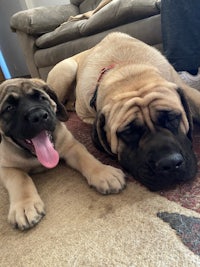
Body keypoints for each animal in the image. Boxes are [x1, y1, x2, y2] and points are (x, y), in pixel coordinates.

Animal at [0, 77, 125, 230]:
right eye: (9, 108)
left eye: (42, 98)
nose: (38, 116)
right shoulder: (6, 167)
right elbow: (21, 179)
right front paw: (25, 205)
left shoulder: (72, 146)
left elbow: (87, 158)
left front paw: (104, 172)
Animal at [47, 32, 200, 193]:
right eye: (128, 132)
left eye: (172, 118)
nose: (169, 163)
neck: (127, 70)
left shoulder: (185, 89)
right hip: (66, 70)